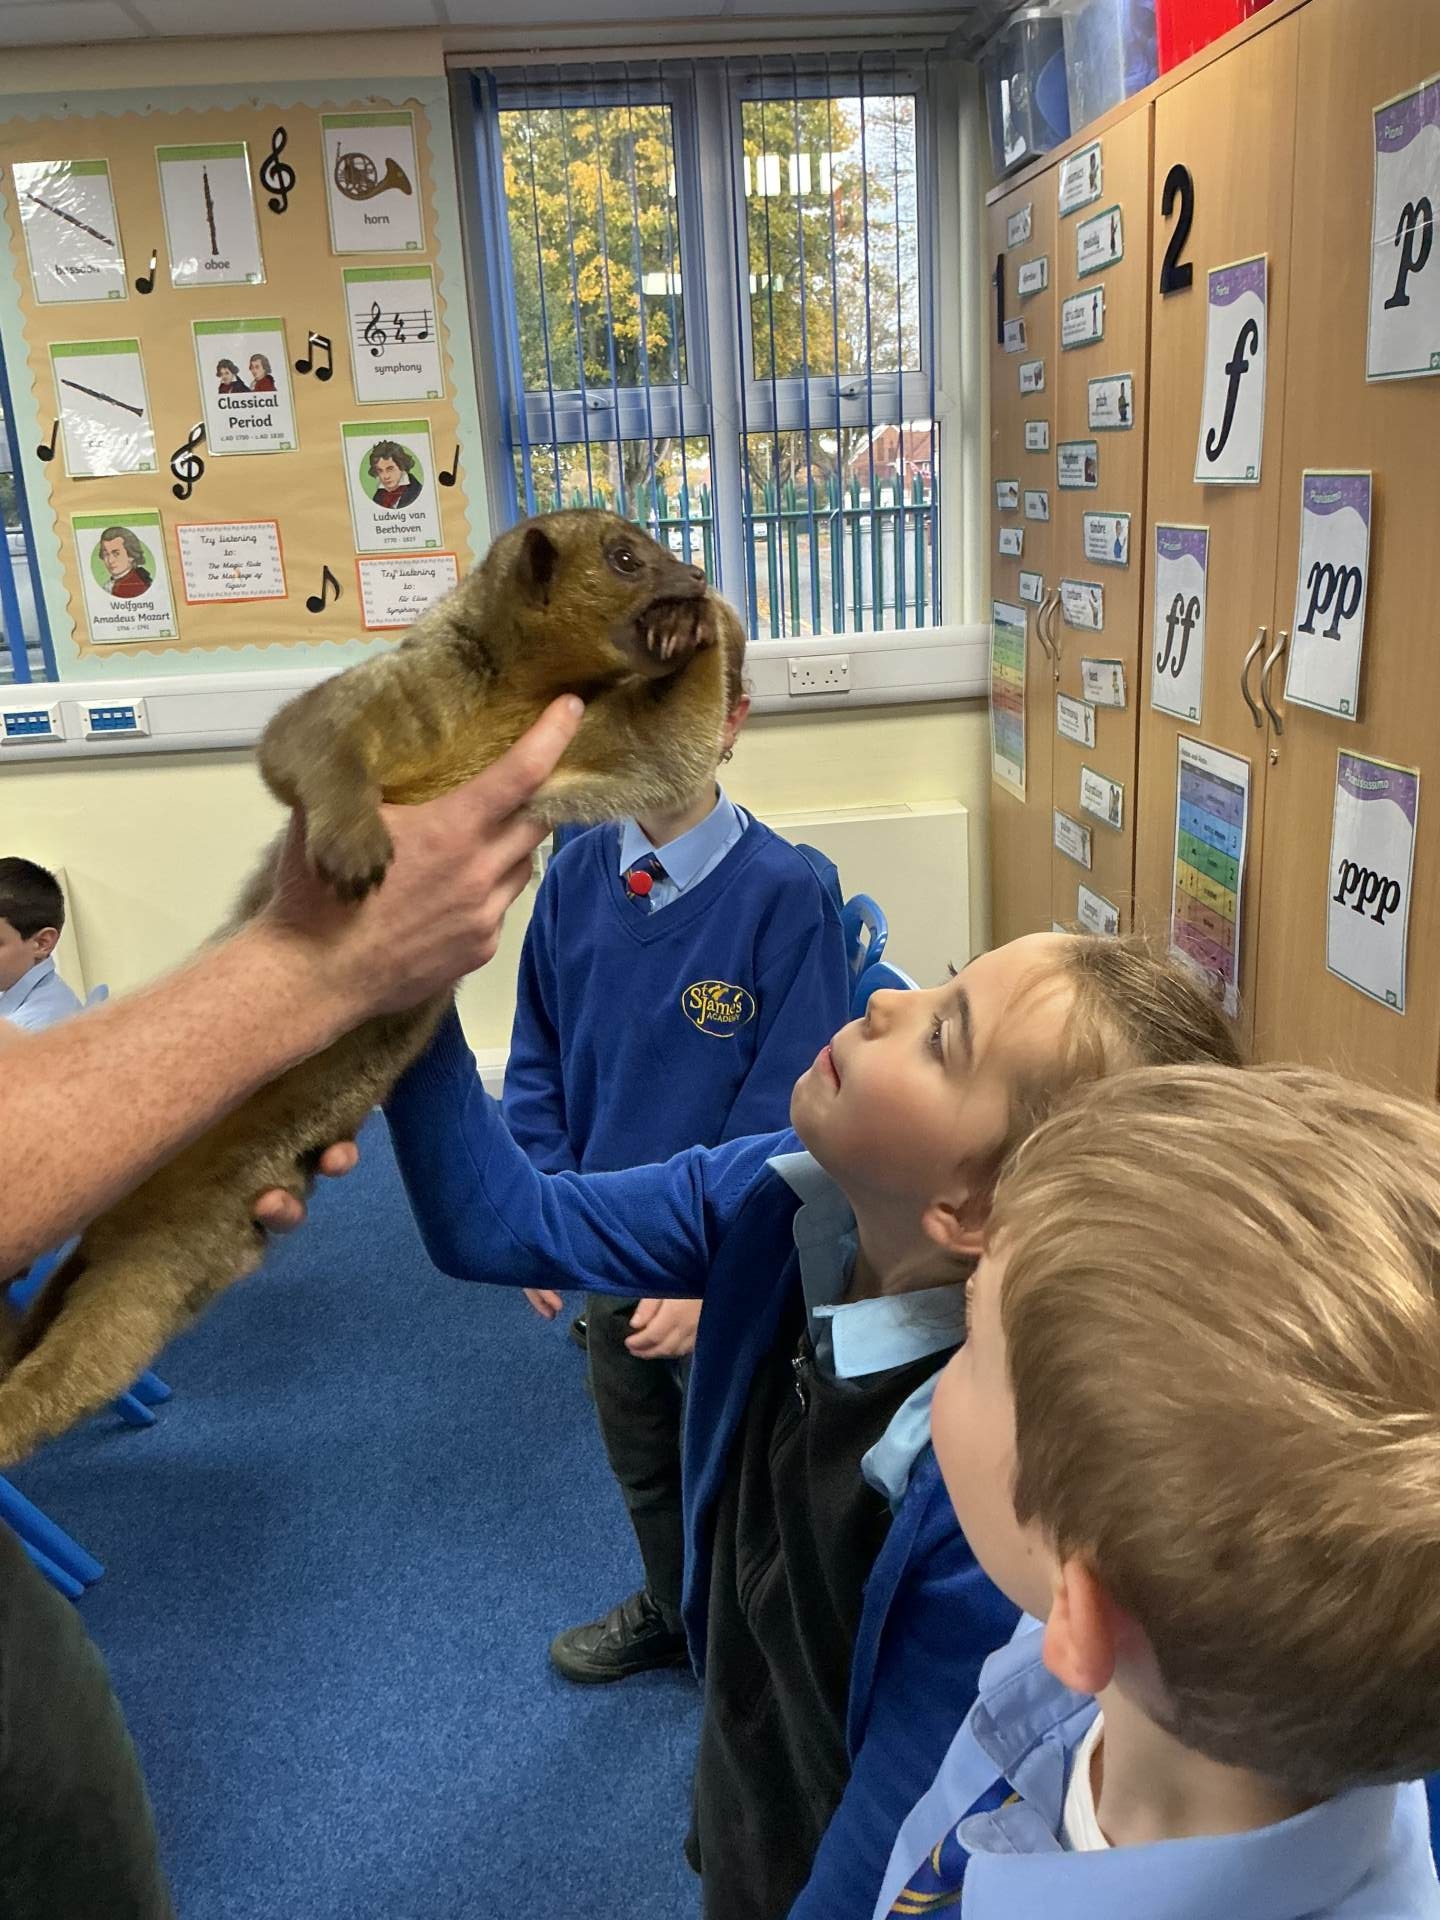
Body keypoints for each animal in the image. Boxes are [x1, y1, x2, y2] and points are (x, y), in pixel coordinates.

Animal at [0, 511, 740, 1466]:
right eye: (624, 558)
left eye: (654, 547)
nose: (692, 577)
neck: (521, 694)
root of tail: (113, 1220)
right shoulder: (419, 682)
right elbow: (309, 732)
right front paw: (353, 843)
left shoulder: (578, 742)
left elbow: (667, 757)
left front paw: (697, 632)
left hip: (173, 1258)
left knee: (91, 1344)